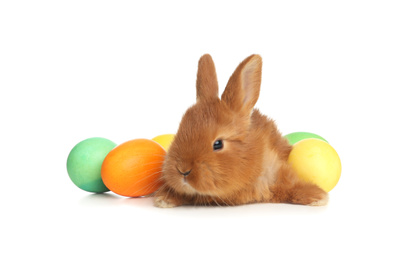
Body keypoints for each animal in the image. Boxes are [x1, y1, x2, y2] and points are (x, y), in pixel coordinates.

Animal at [153, 54, 328, 207]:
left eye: (218, 144)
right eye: (179, 132)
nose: (183, 170)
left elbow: (291, 185)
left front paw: (317, 197)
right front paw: (164, 199)